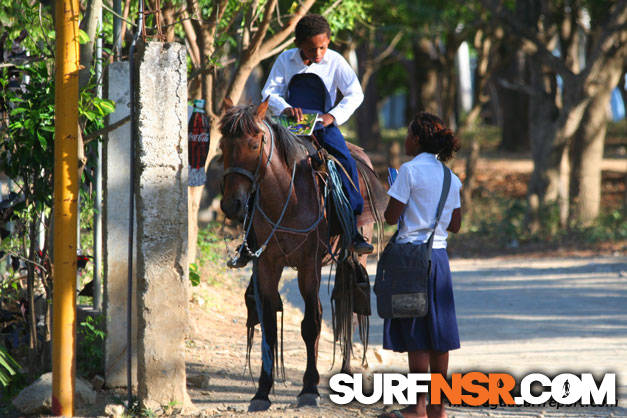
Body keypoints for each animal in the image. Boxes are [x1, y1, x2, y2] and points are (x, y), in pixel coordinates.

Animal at [220, 98, 388, 412]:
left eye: (254, 144)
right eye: (222, 145)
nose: (231, 204)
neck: (286, 197)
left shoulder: (309, 265)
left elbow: (311, 323)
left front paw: (309, 389)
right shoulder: (267, 264)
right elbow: (269, 325)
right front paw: (262, 392)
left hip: (355, 256)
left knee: (348, 309)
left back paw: (346, 375)